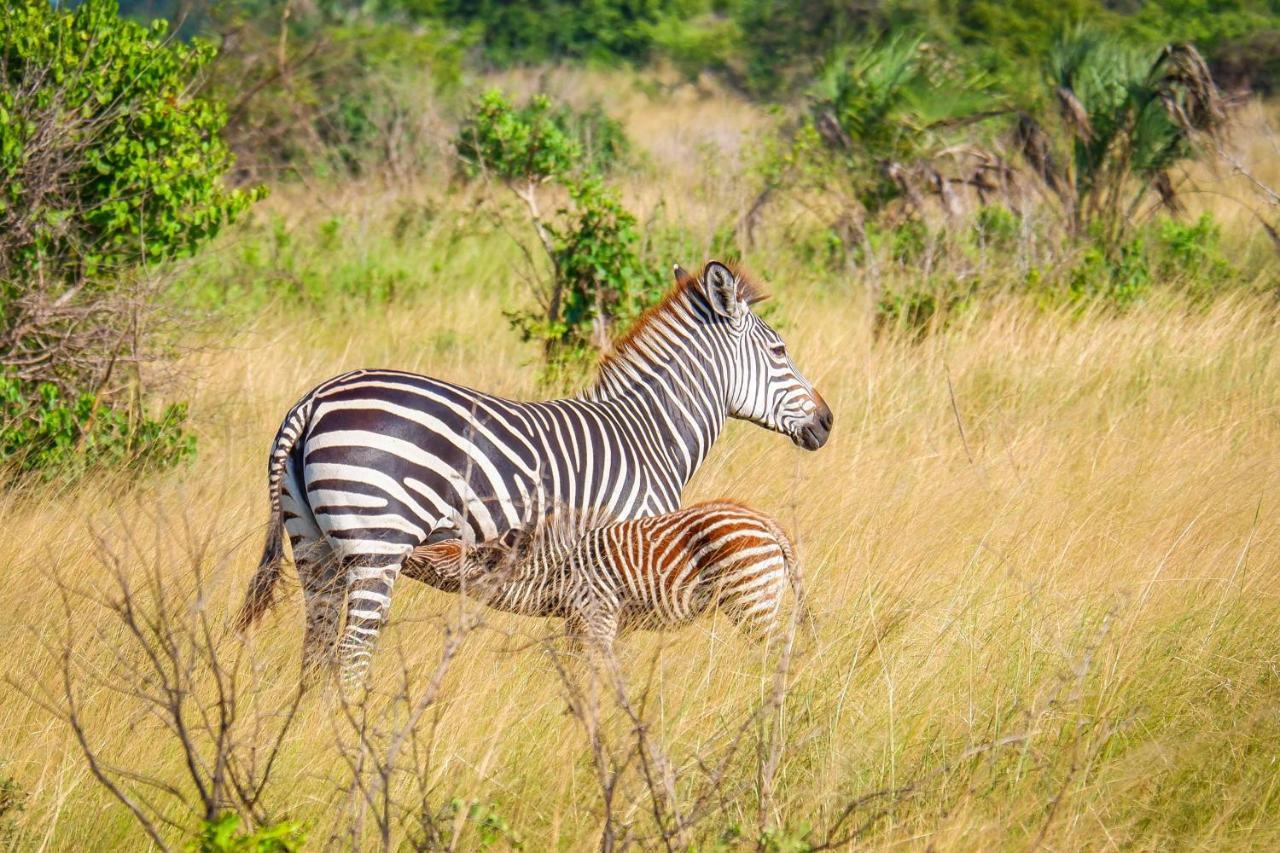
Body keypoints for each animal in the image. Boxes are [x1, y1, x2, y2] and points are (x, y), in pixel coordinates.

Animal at [409, 499, 808, 650]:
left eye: (446, 551)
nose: (407, 548)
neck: (555, 575)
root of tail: (761, 519)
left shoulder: (596, 615)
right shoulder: (584, 622)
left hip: (750, 598)